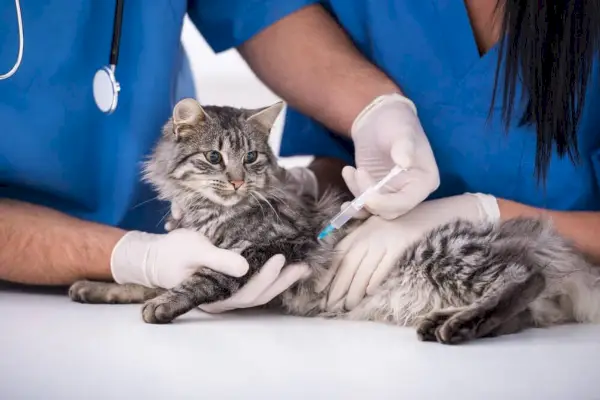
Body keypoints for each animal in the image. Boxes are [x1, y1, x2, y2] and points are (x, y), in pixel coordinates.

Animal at [68, 98, 600, 346]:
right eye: (214, 157)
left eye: (252, 157)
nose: (237, 181)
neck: (208, 214)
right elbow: (147, 278)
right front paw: (98, 286)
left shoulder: (277, 247)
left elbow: (203, 278)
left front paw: (163, 305)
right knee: (518, 313)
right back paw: (449, 322)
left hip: (446, 253)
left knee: (524, 279)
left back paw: (457, 325)